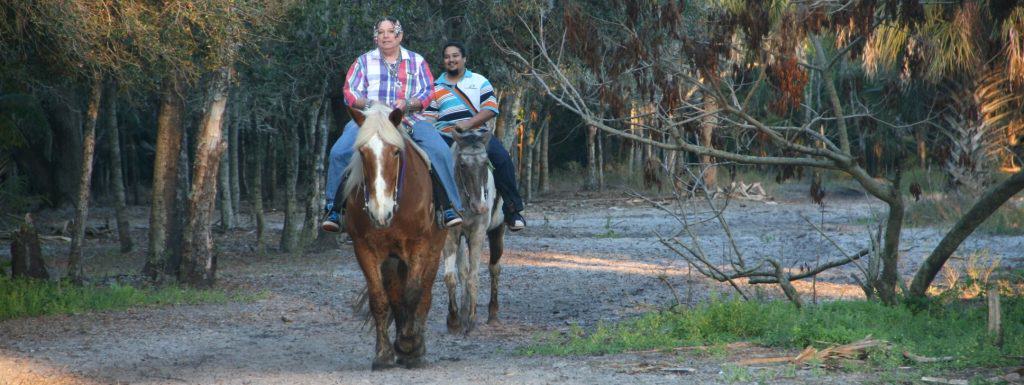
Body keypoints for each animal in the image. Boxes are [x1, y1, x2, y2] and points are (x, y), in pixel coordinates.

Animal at [342, 105, 446, 370]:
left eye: (396, 152)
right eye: (362, 151)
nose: (381, 212)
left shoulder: (419, 245)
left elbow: (413, 294)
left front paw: (410, 343)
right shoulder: (364, 248)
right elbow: (380, 299)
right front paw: (384, 354)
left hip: (435, 248)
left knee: (425, 294)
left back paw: (416, 348)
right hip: (391, 257)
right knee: (395, 294)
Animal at [442, 129, 505, 333]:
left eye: (485, 163)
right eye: (462, 164)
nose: (480, 207)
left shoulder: (478, 233)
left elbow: (473, 277)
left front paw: (471, 319)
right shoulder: (451, 234)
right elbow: (453, 276)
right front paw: (454, 320)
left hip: (498, 230)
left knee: (494, 269)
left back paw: (493, 314)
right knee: (463, 271)